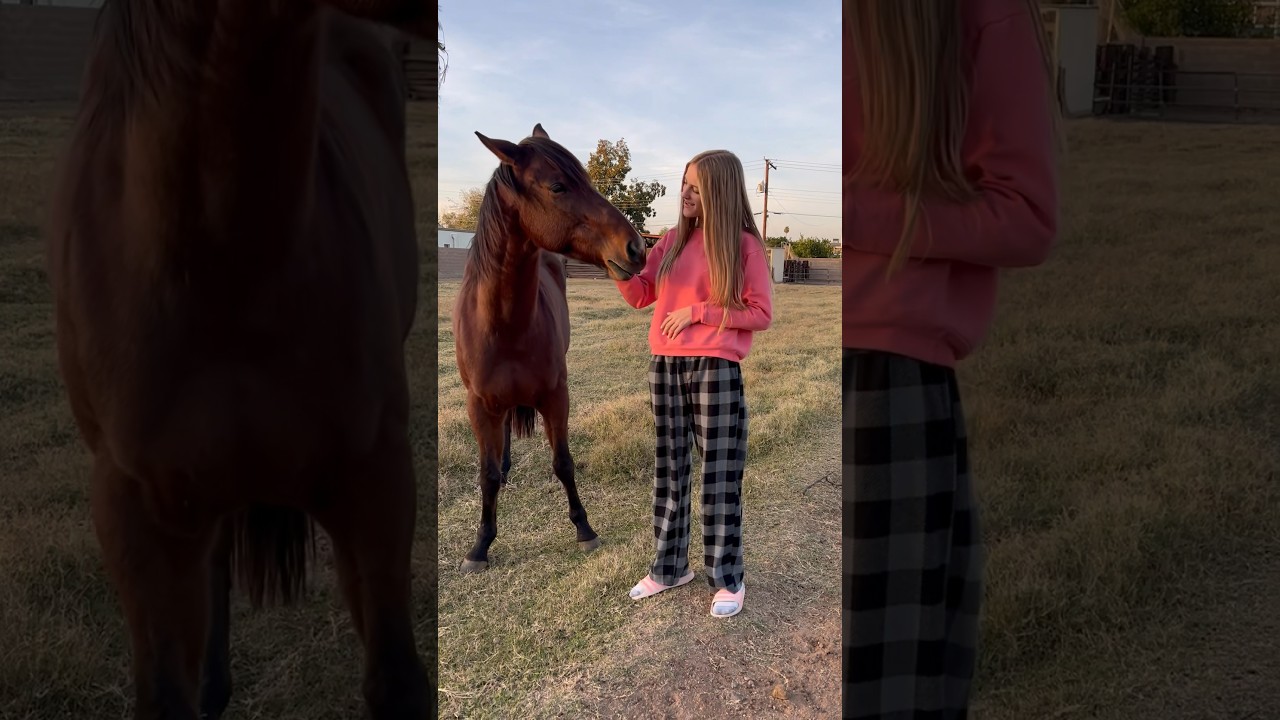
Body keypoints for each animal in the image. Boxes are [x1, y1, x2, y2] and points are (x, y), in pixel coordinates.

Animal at [452, 124, 647, 573]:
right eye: (558, 186)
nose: (637, 248)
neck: (505, 326)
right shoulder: (478, 404)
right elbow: (486, 474)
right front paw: (480, 545)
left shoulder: (557, 396)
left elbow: (563, 462)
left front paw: (584, 528)